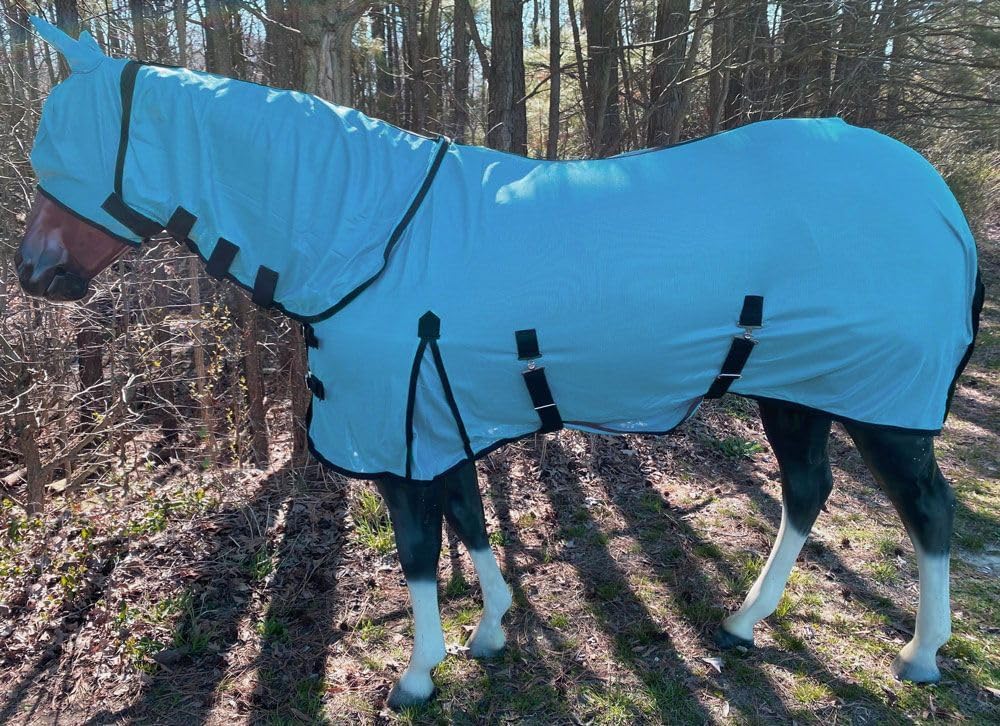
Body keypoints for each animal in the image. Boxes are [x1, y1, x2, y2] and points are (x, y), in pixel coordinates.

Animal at [15, 18, 983, 710]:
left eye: (62, 152)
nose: (31, 271)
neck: (365, 234)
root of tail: (939, 201)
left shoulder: (398, 434)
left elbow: (418, 550)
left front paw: (419, 673)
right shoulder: (437, 421)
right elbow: (469, 521)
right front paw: (490, 633)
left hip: (881, 406)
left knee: (929, 515)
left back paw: (921, 653)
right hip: (797, 391)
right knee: (807, 492)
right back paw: (744, 622)